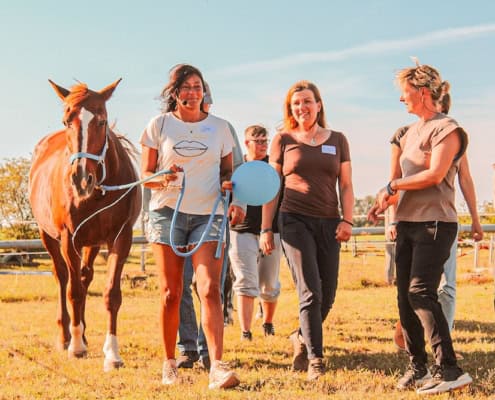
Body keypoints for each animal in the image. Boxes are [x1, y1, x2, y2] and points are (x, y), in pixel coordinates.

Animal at [28, 79, 142, 372]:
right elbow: (75, 292)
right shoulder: (69, 240)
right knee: (62, 279)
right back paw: (66, 335)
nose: (81, 179)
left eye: (102, 121)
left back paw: (85, 332)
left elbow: (111, 294)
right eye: (66, 121)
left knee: (84, 276)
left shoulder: (121, 238)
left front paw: (112, 353)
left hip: (91, 243)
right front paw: (76, 346)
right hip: (48, 237)